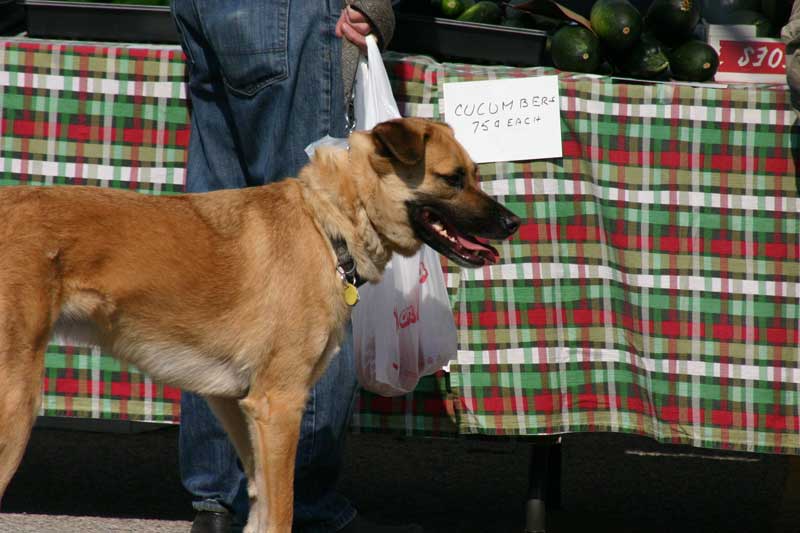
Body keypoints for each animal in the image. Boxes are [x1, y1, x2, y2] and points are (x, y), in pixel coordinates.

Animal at [0, 118, 520, 528]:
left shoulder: (237, 405)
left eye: (476, 175)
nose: (514, 223)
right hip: (16, 405)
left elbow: (262, 508)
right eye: (453, 179)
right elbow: (284, 511)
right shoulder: (280, 406)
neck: (326, 225)